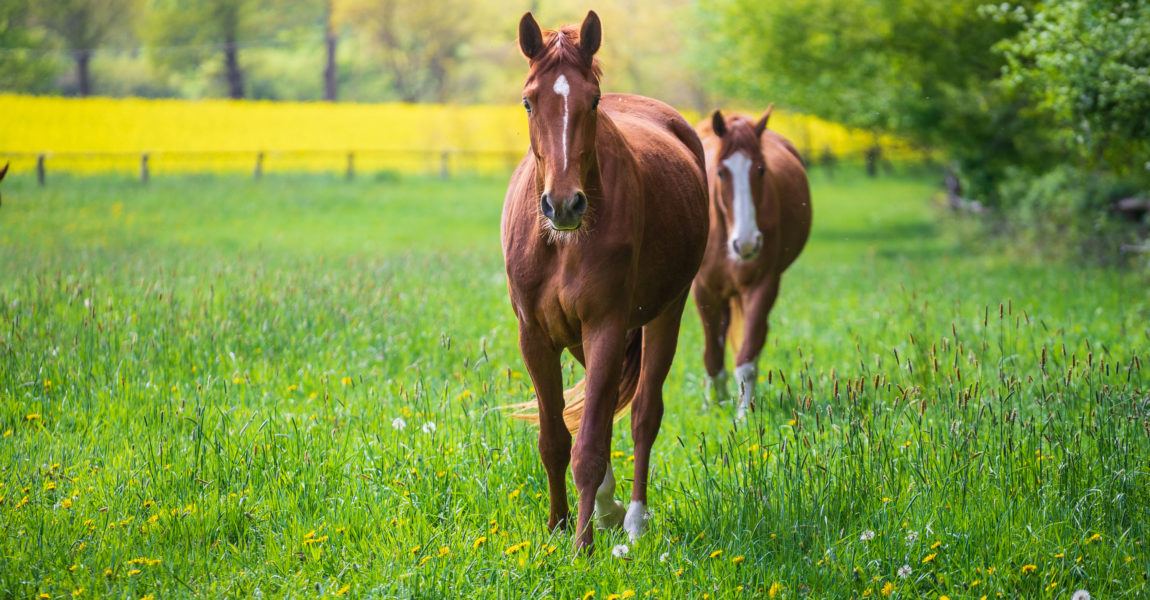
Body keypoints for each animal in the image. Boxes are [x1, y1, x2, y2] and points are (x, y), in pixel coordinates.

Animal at [503, 10, 708, 551]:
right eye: (529, 101)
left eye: (592, 100)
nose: (564, 205)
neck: (561, 244)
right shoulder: (536, 336)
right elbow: (555, 440)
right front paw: (557, 527)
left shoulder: (606, 328)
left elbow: (591, 445)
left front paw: (581, 547)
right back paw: (608, 509)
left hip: (666, 313)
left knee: (643, 414)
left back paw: (632, 518)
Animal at [685, 104, 814, 420]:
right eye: (720, 172)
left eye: (761, 170)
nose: (745, 243)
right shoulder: (704, 291)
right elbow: (712, 355)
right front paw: (713, 405)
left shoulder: (761, 285)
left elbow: (747, 357)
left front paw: (744, 415)